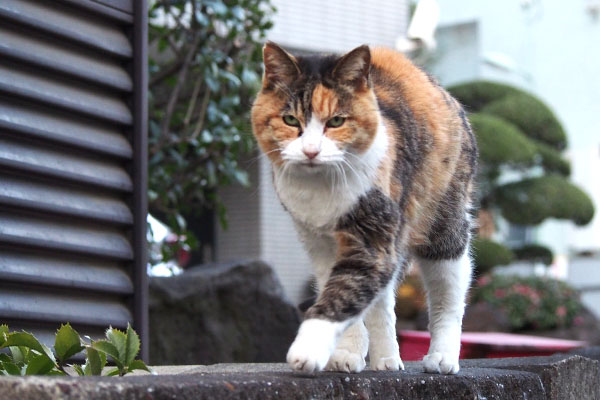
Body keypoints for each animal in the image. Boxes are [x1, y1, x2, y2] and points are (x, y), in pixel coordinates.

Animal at [251, 43, 476, 376]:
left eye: (336, 122)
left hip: (442, 221)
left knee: (449, 290)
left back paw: (441, 358)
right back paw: (386, 359)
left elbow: (343, 292)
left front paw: (307, 351)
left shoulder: (372, 233)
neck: (320, 191)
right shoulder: (318, 242)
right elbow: (346, 292)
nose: (311, 151)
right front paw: (346, 354)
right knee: (382, 301)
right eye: (290, 120)